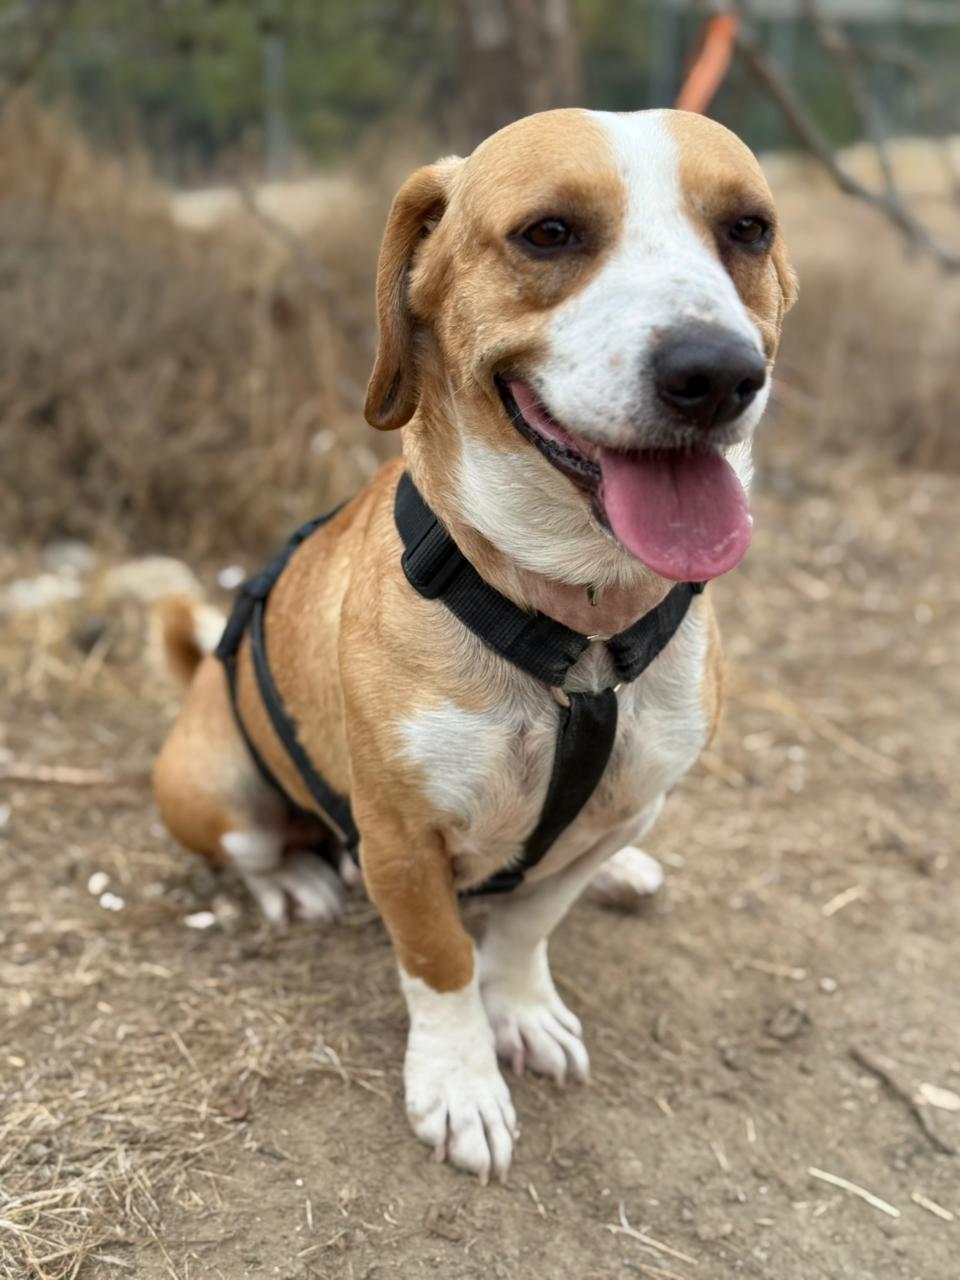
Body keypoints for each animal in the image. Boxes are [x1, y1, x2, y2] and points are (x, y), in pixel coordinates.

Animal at [154, 108, 796, 1184]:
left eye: (748, 229)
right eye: (549, 233)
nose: (714, 372)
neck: (578, 628)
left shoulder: (624, 800)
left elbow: (529, 924)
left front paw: (524, 1007)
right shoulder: (402, 841)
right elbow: (443, 961)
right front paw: (459, 1080)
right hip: (220, 790)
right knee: (256, 846)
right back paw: (293, 879)